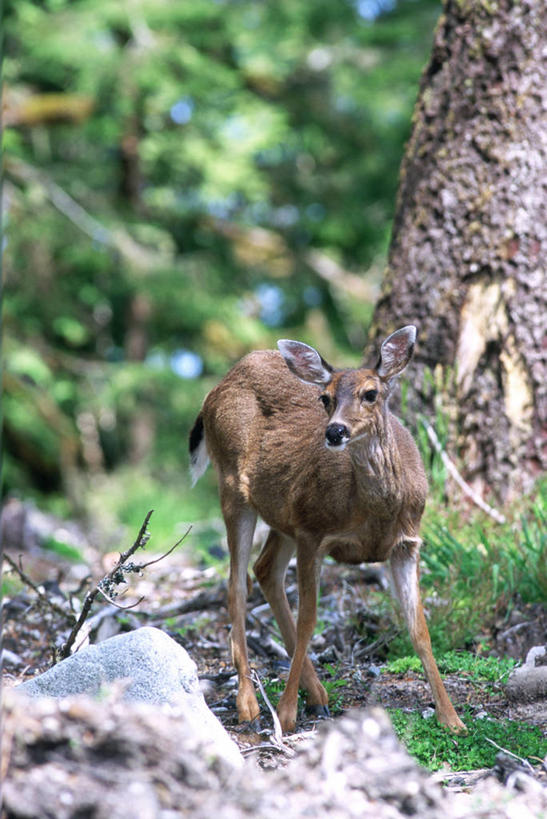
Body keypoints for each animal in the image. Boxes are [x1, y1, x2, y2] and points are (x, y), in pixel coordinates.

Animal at [189, 326, 466, 736]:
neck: (373, 512)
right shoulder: (313, 532)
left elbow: (419, 629)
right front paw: (286, 714)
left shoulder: (407, 543)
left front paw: (452, 718)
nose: (335, 431)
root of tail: (217, 387)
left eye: (371, 393)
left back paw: (317, 694)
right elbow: (309, 621)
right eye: (326, 397)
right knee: (237, 586)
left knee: (265, 569)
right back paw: (249, 705)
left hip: (283, 514)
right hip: (233, 487)